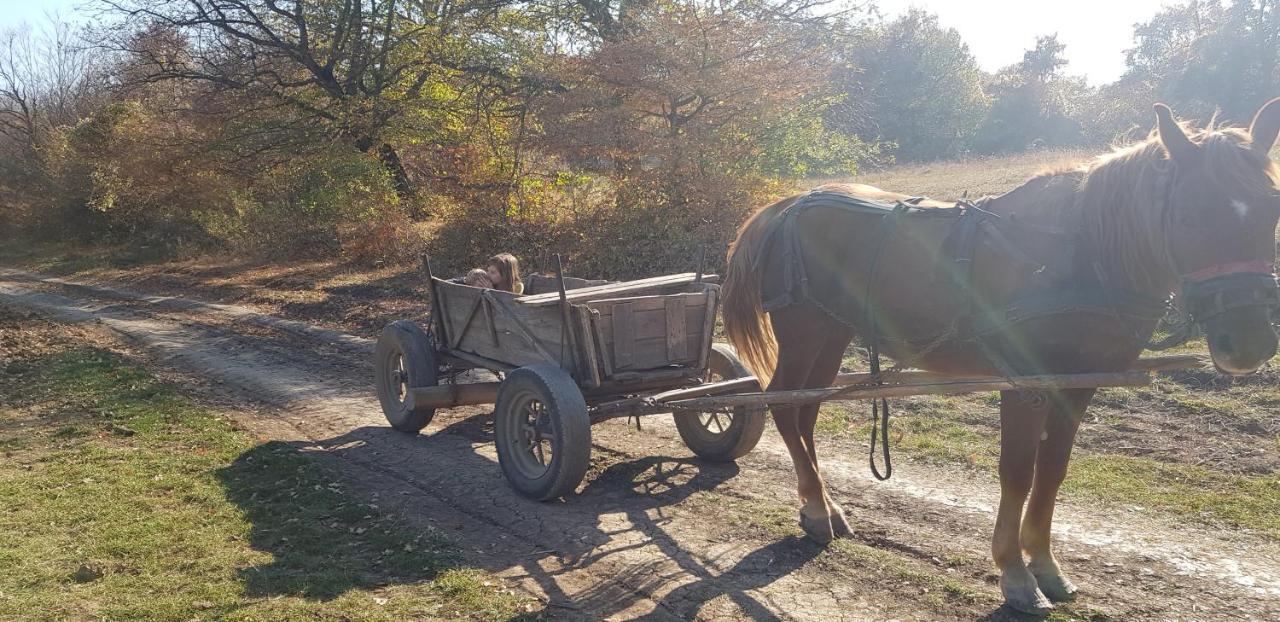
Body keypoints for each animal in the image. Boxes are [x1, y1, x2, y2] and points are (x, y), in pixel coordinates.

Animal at [721, 101, 1280, 611]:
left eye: (1271, 208)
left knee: (806, 413)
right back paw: (817, 509)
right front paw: (1015, 572)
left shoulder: (1078, 383)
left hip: (833, 335)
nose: (1249, 341)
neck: (1077, 254)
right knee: (784, 406)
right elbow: (1017, 471)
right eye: (1189, 213)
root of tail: (786, 207)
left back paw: (824, 504)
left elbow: (1052, 470)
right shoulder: (1026, 385)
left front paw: (1046, 562)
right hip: (805, 332)